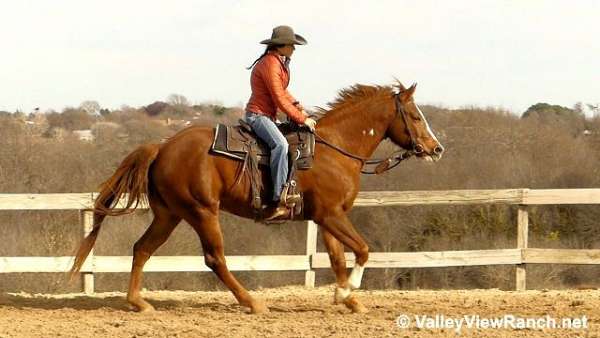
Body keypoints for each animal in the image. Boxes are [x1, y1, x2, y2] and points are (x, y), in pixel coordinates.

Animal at [71, 80, 446, 312]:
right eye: (415, 116)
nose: (436, 148)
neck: (334, 150)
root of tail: (163, 146)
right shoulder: (332, 215)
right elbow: (364, 249)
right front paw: (348, 290)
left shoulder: (326, 217)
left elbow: (338, 258)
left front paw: (348, 299)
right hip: (202, 212)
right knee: (214, 259)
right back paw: (251, 302)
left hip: (170, 214)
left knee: (142, 248)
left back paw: (138, 302)